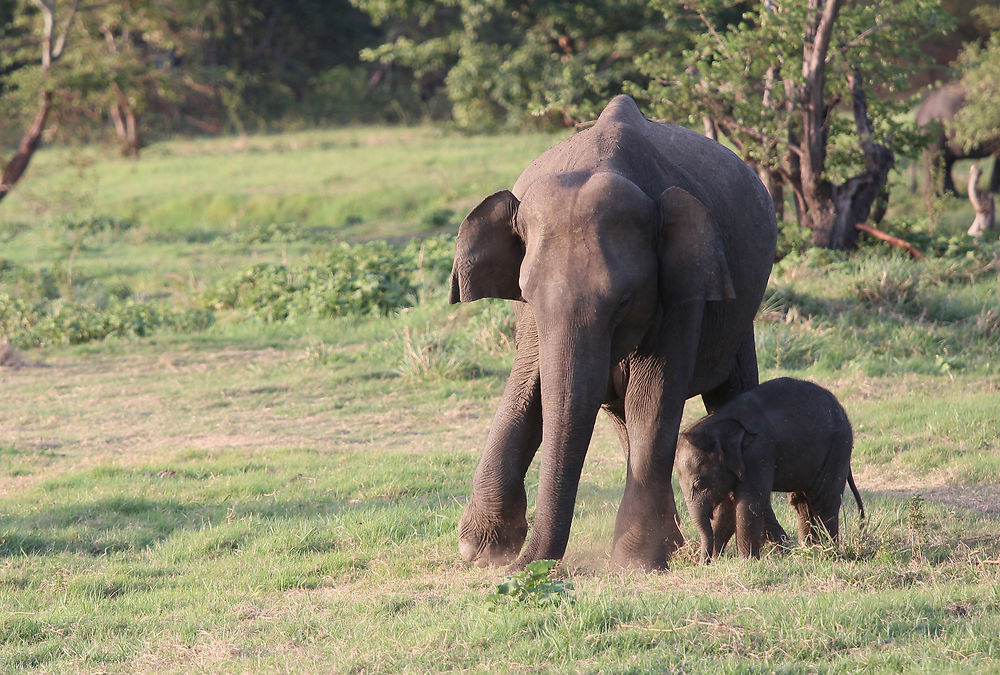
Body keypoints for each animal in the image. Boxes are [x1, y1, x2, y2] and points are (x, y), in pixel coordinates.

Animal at [450, 95, 776, 572]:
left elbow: (653, 398)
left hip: (738, 315)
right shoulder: (530, 321)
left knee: (729, 392)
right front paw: (482, 549)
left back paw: (770, 544)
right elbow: (528, 389)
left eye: (624, 301)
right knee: (623, 421)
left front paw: (635, 563)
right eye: (526, 294)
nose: (521, 567)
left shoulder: (681, 293)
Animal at [676, 378, 864, 564]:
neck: (721, 422)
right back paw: (809, 550)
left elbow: (748, 503)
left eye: (700, 484)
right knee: (801, 502)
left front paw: (747, 562)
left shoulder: (758, 454)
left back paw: (828, 552)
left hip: (837, 450)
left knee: (825, 500)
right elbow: (727, 507)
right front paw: (716, 561)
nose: (702, 563)